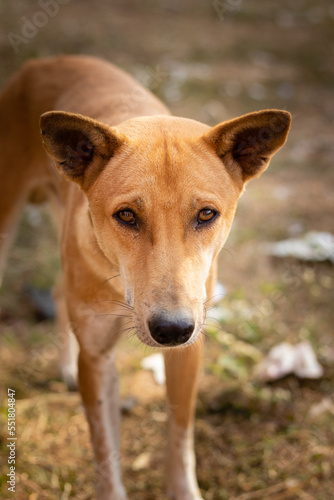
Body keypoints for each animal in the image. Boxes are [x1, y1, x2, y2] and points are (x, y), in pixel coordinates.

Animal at [0, 55, 290, 500]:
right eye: (126, 215)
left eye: (206, 214)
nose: (171, 329)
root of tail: (44, 61)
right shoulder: (98, 359)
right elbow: (105, 451)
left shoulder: (190, 348)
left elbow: (180, 436)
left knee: (58, 290)